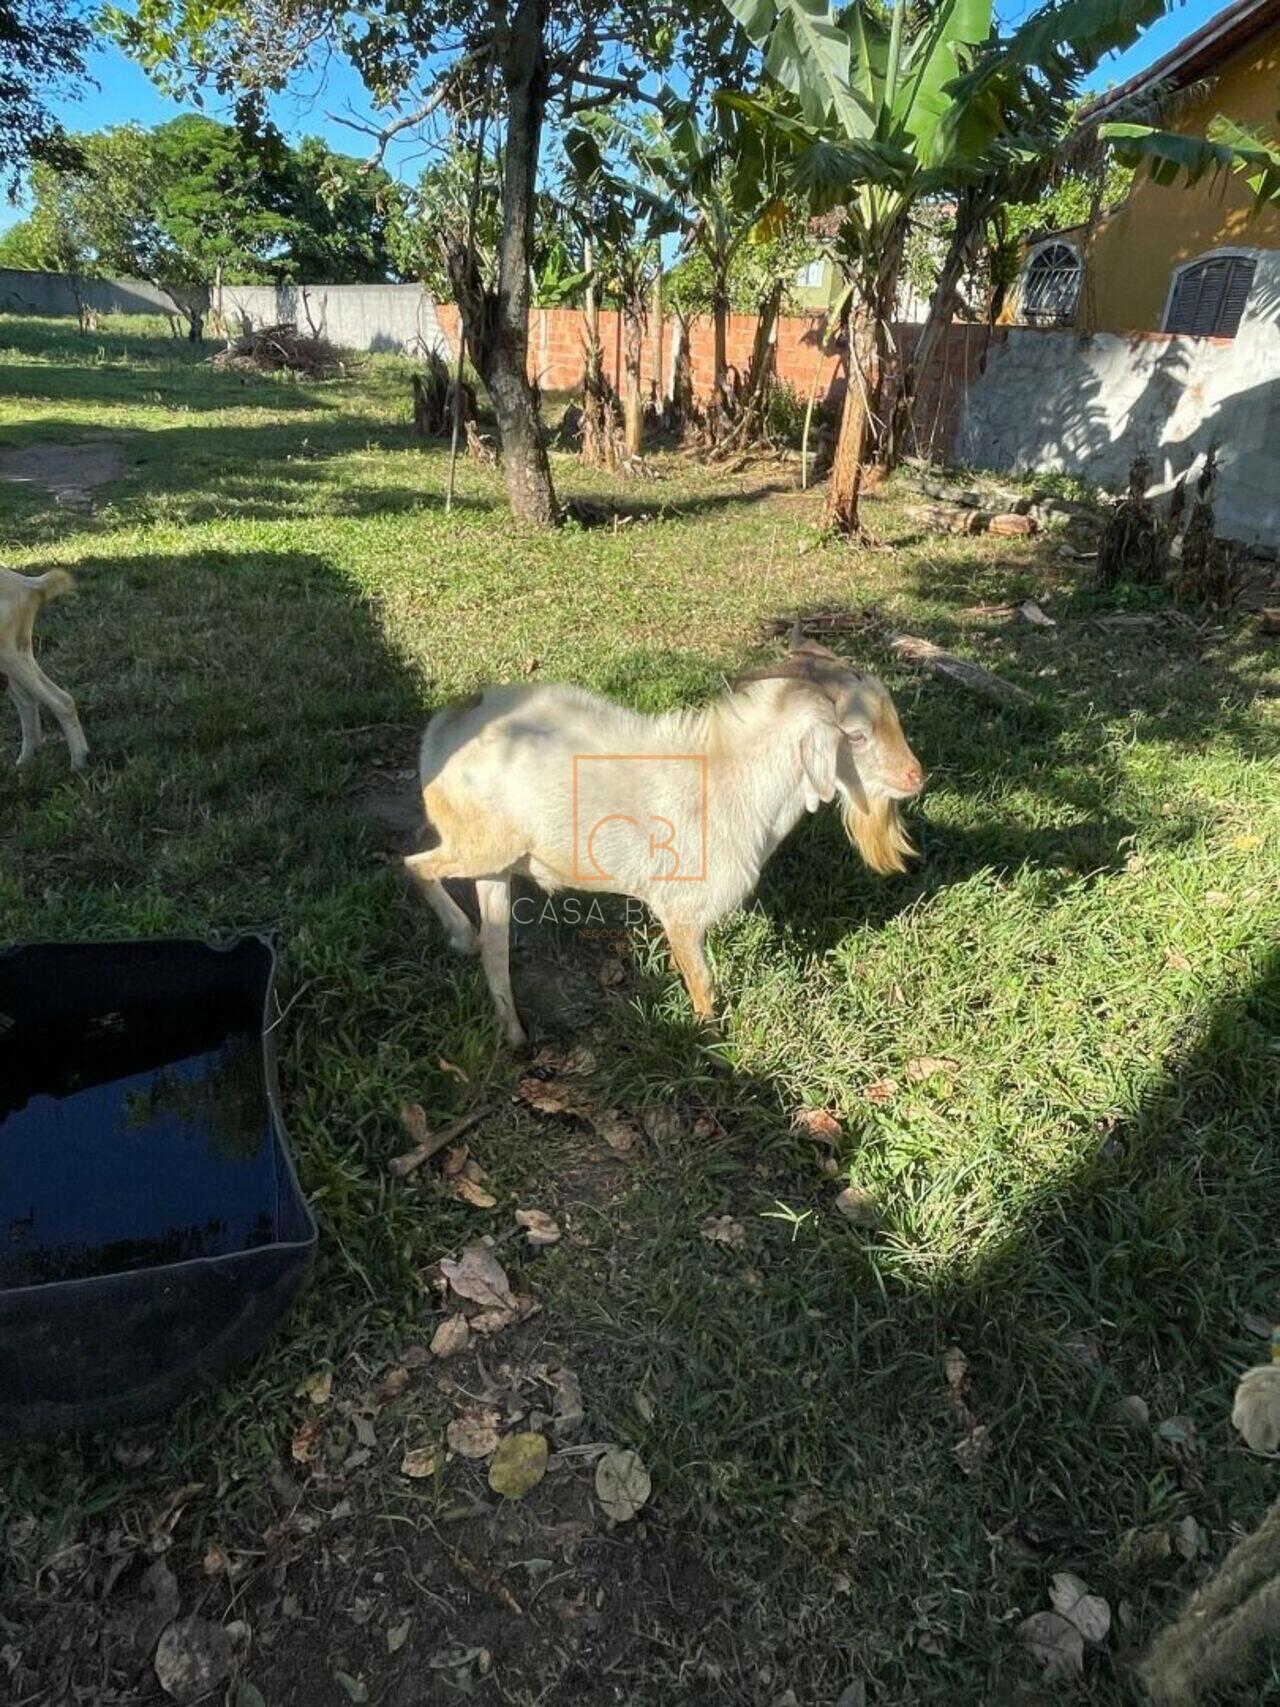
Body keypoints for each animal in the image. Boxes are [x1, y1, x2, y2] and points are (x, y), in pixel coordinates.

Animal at [1, 566, 87, 768]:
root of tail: (27, 584)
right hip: (14, 655)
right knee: (27, 701)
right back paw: (25, 761)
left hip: (8, 654)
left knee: (62, 701)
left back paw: (78, 763)